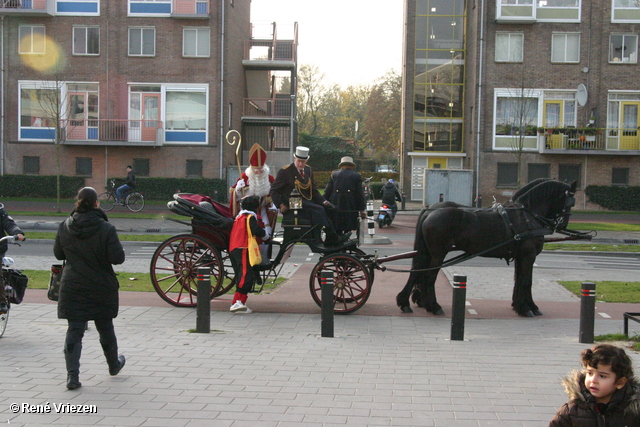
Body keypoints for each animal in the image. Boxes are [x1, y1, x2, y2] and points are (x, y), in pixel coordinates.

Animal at [398, 179, 576, 316]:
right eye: (569, 203)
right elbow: (526, 281)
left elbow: (519, 280)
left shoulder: (521, 256)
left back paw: (406, 301)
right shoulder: (528, 255)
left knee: (417, 272)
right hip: (438, 253)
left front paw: (522, 305)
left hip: (427, 252)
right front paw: (527, 308)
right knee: (428, 276)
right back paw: (434, 306)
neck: (528, 215)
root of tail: (431, 211)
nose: (563, 224)